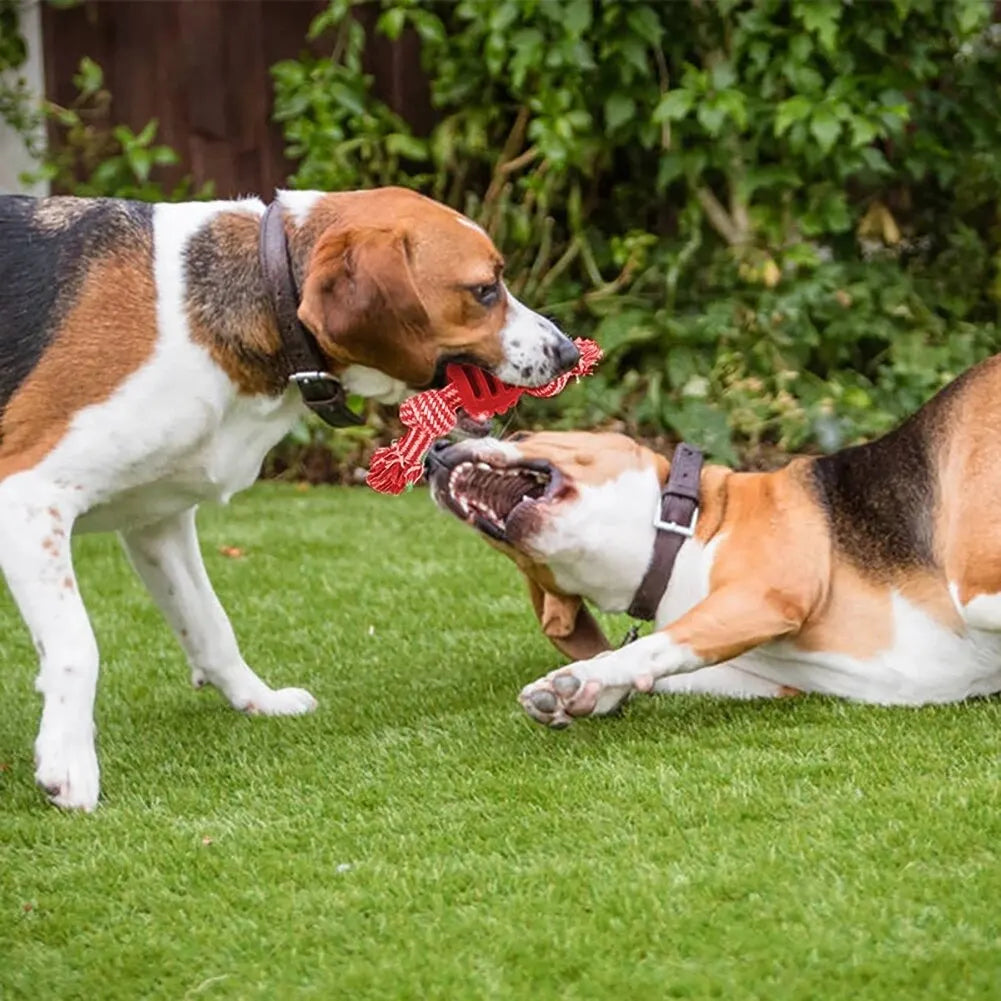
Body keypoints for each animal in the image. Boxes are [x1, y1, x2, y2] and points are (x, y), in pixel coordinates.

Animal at [0, 188, 580, 808]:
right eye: (485, 291)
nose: (568, 352)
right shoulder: (27, 499)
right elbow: (76, 647)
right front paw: (67, 762)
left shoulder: (159, 523)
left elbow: (210, 623)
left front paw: (256, 700)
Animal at [428, 354, 1001, 728]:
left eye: (524, 436)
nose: (432, 453)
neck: (681, 531)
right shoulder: (764, 674)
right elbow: (660, 663)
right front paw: (578, 690)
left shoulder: (765, 595)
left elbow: (657, 644)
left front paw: (587, 675)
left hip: (971, 584)